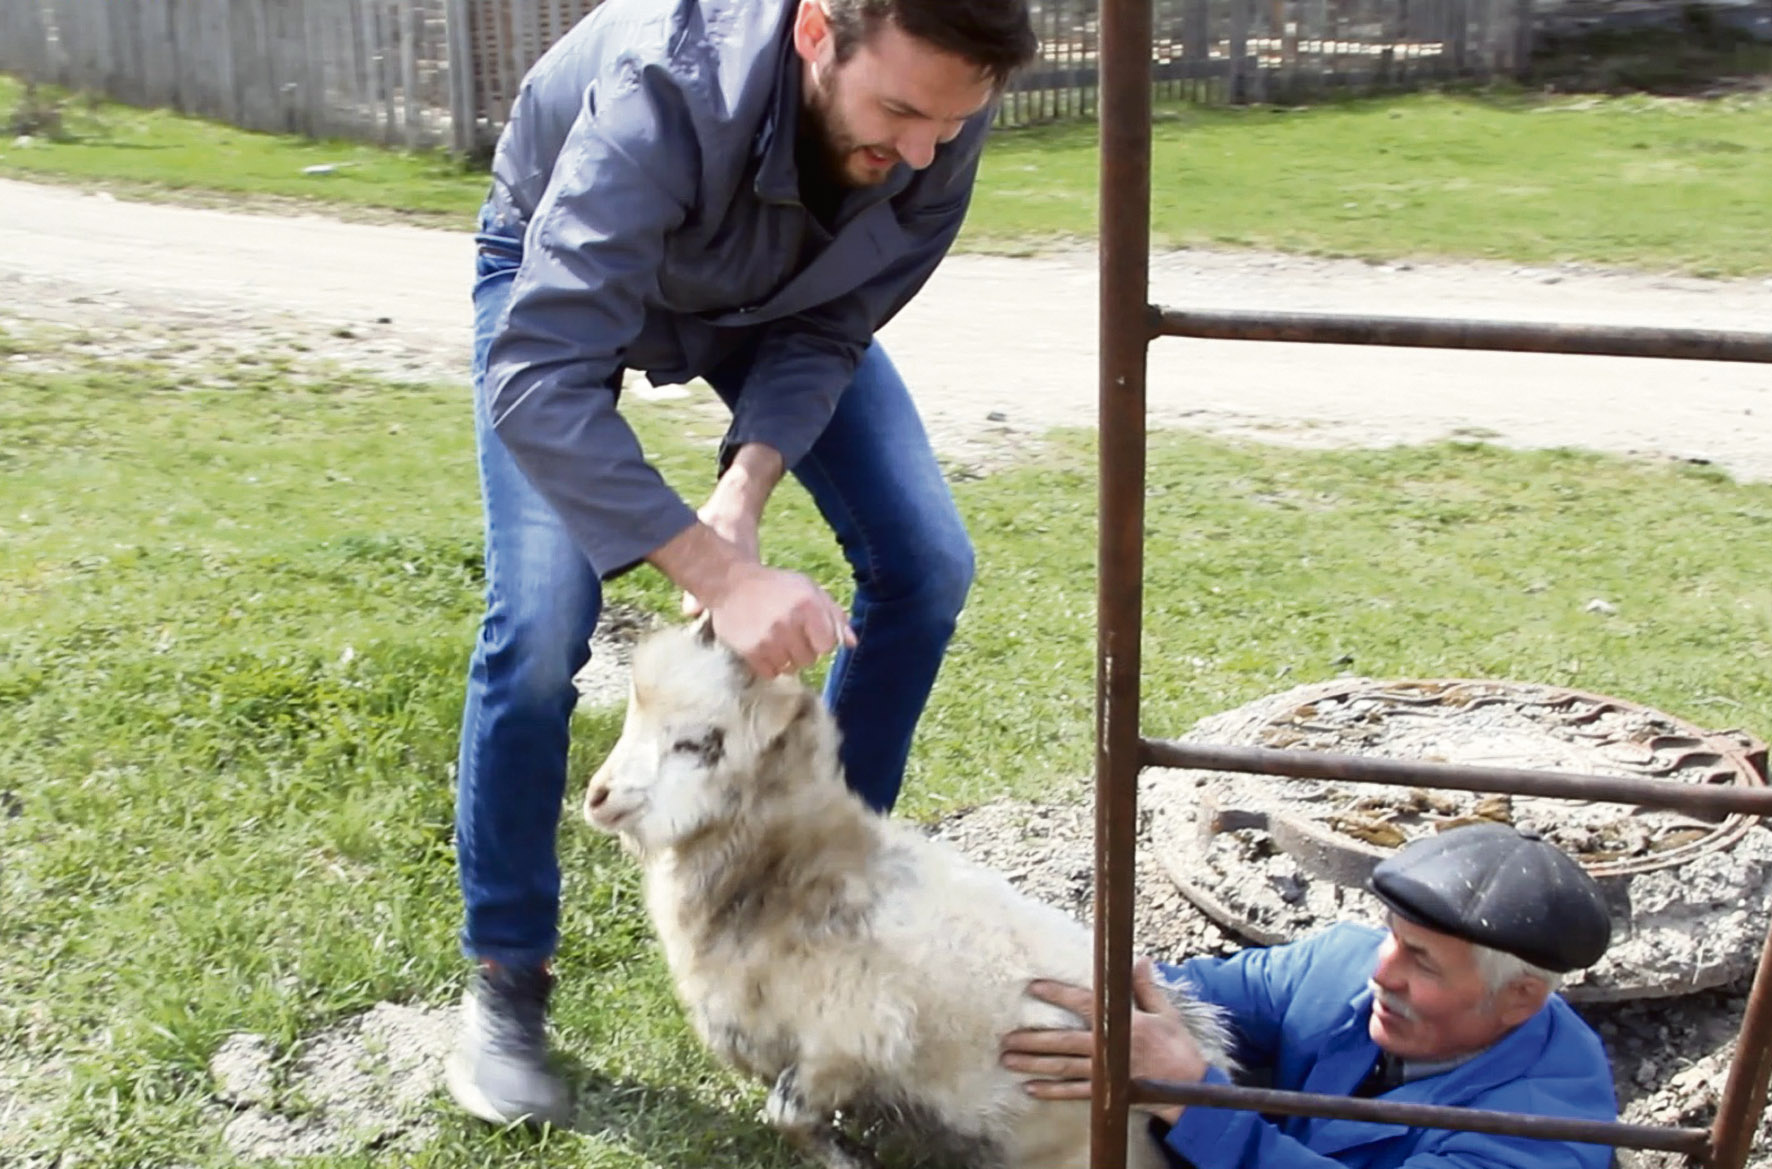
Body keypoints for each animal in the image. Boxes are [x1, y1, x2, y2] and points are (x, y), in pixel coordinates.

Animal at [584, 619, 1233, 1169]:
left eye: (700, 743)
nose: (598, 796)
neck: (792, 870)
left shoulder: (847, 1044)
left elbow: (786, 1113)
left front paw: (844, 1158)